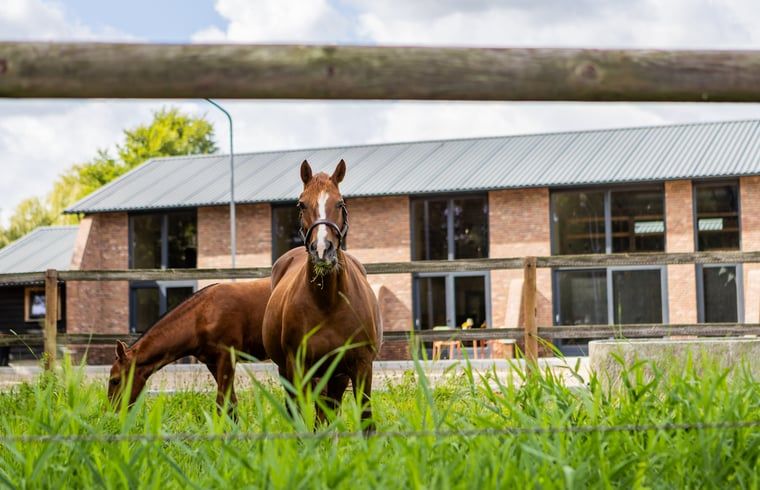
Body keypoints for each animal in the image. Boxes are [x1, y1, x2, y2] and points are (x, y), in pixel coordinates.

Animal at [108, 278, 271, 418]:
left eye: (115, 380)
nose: (113, 413)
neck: (201, 316)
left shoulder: (227, 357)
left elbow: (223, 404)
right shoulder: (212, 362)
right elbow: (231, 403)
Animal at [263, 159, 382, 432]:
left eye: (340, 203)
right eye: (301, 204)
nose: (321, 250)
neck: (328, 303)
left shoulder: (361, 365)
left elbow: (365, 421)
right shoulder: (299, 368)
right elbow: (304, 421)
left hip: (337, 376)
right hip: (290, 372)